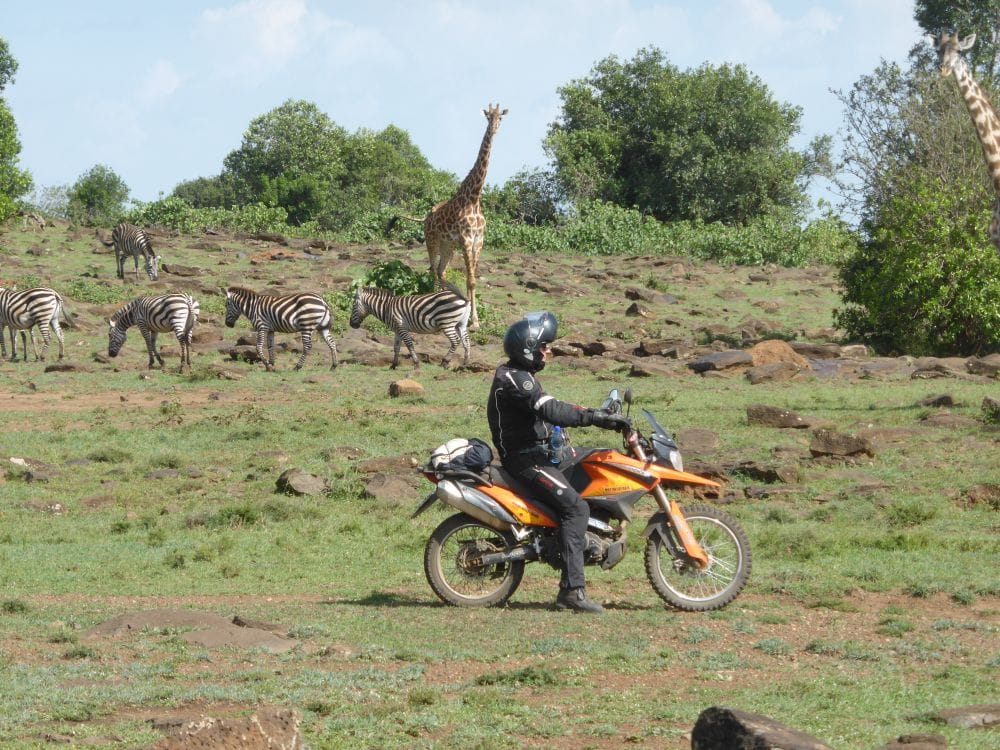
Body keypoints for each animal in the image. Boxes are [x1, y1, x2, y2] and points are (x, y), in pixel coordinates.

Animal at [424, 103, 508, 330]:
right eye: (488, 117)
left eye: (500, 118)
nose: (493, 129)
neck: (474, 198)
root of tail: (426, 217)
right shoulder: (466, 239)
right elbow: (470, 279)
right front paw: (474, 320)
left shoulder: (478, 241)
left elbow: (473, 279)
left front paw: (474, 318)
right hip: (432, 240)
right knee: (433, 269)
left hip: (448, 245)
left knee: (441, 271)